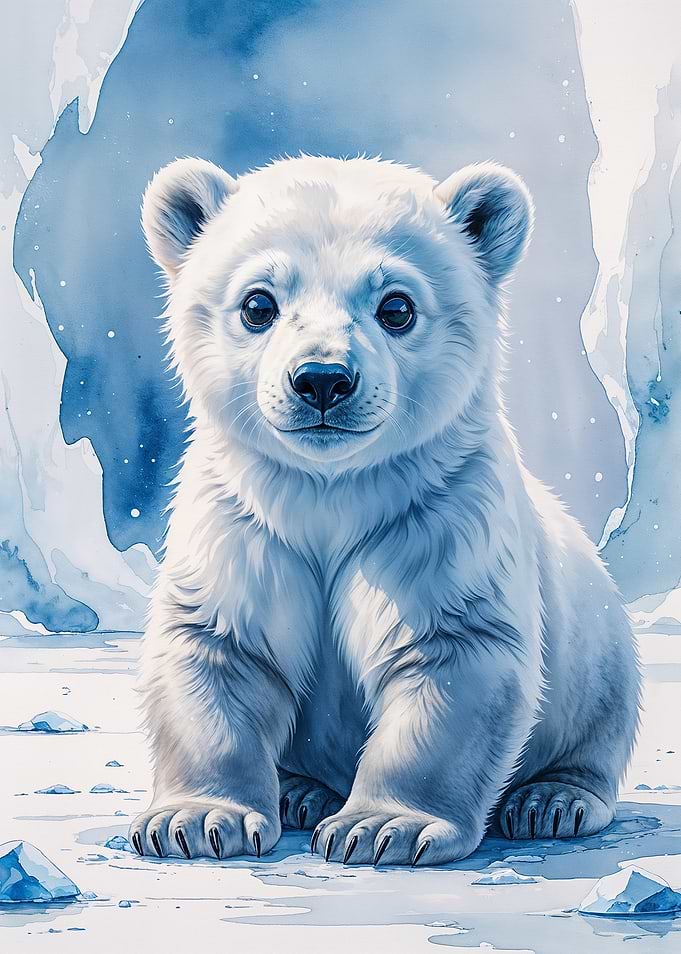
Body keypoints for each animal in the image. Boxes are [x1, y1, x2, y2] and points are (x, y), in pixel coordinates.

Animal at [130, 154, 640, 867]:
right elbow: (218, 644)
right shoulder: (243, 518)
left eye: (396, 306)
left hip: (598, 647)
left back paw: (550, 801)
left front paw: (379, 828)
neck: (330, 492)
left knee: (592, 722)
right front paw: (196, 819)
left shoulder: (440, 511)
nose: (321, 379)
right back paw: (301, 791)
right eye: (258, 304)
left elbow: (452, 651)